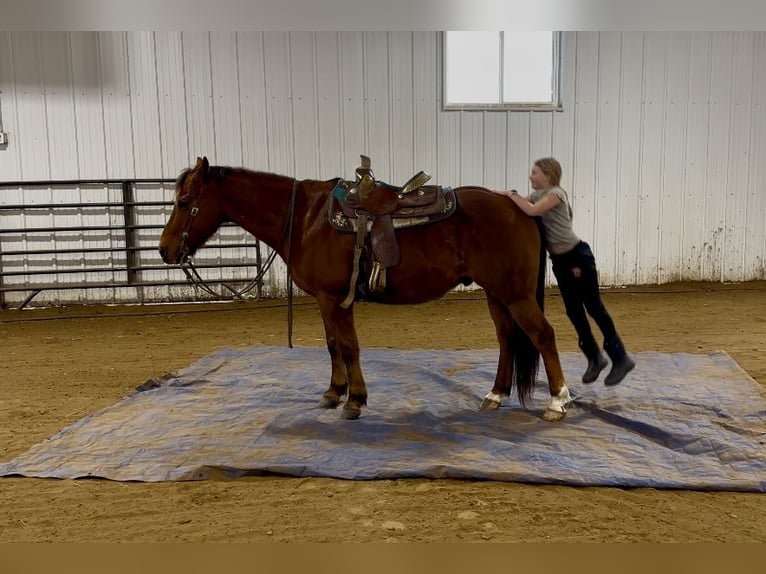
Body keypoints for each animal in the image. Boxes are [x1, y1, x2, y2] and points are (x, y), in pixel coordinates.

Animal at [159, 158, 572, 424]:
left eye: (184, 201)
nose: (164, 250)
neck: (306, 218)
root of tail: (520, 207)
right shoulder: (324, 301)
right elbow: (332, 346)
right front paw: (333, 393)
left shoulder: (335, 300)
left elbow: (348, 347)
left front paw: (354, 400)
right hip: (496, 294)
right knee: (507, 339)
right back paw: (495, 395)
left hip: (515, 294)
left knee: (543, 336)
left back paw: (558, 401)